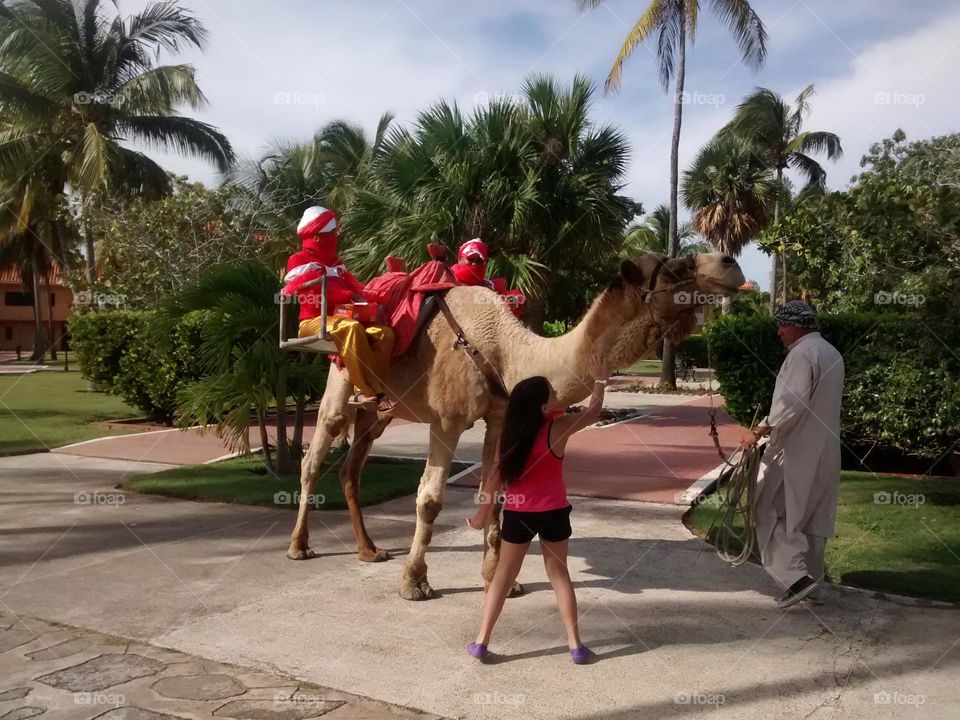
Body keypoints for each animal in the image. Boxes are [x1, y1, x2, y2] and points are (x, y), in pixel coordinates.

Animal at [288, 250, 748, 600]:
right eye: (677, 267)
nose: (731, 263)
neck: (505, 351)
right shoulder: (447, 419)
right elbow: (430, 499)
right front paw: (415, 583)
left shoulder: (498, 415)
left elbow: (495, 493)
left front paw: (500, 582)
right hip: (340, 370)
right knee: (315, 455)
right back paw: (299, 547)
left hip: (379, 408)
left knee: (352, 466)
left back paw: (369, 550)